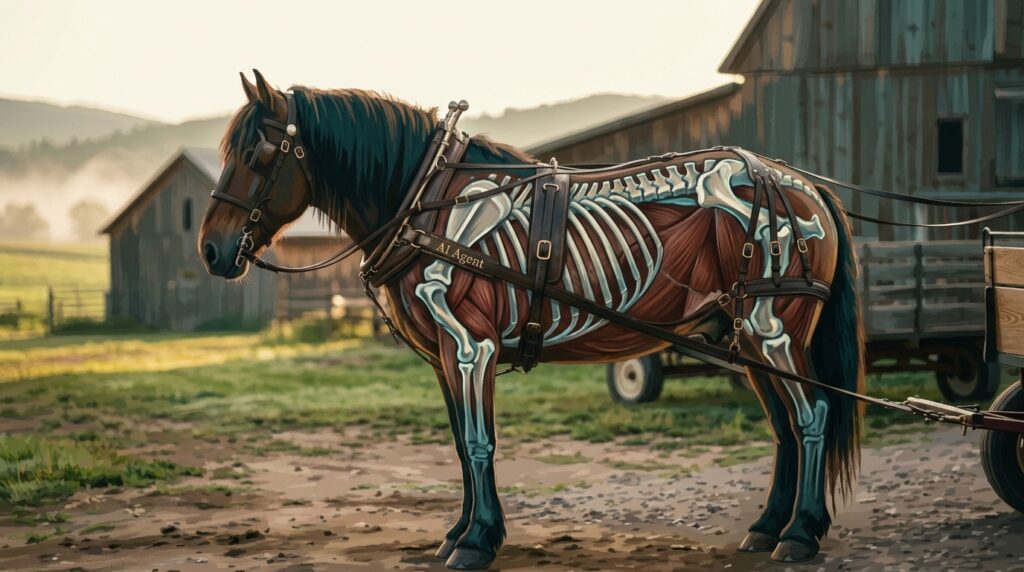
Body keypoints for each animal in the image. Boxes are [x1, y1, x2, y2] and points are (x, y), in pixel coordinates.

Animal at [199, 70, 865, 570]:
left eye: (257, 154)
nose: (211, 250)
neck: (426, 201)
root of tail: (799, 184)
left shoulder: (471, 345)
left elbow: (477, 440)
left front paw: (476, 541)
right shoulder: (444, 357)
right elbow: (460, 445)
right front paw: (459, 532)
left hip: (773, 328)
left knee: (812, 415)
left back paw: (800, 533)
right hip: (743, 338)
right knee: (784, 426)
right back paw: (768, 526)